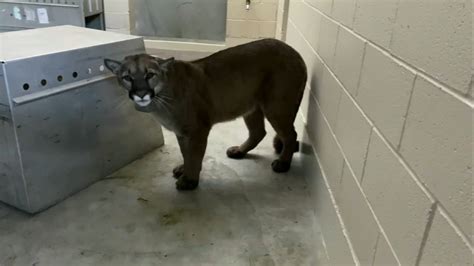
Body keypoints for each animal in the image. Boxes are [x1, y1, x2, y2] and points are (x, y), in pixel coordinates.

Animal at [104, 38, 308, 190]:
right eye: (127, 77)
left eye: (149, 75)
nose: (140, 94)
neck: (162, 96)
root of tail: (296, 53)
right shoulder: (182, 132)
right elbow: (186, 153)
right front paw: (184, 169)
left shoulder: (198, 129)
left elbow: (194, 155)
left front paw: (189, 180)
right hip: (251, 107)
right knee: (259, 132)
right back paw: (239, 151)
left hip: (276, 107)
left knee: (290, 135)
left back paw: (283, 163)